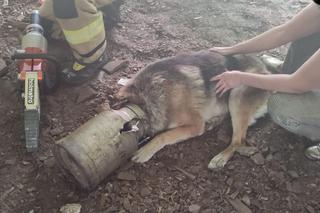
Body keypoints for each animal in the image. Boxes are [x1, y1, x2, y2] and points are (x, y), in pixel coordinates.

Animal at [116, 49, 272, 168]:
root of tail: (267, 71)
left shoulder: (195, 125)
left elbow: (163, 135)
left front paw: (145, 151)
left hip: (237, 93)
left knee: (239, 141)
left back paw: (220, 158)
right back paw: (213, 122)